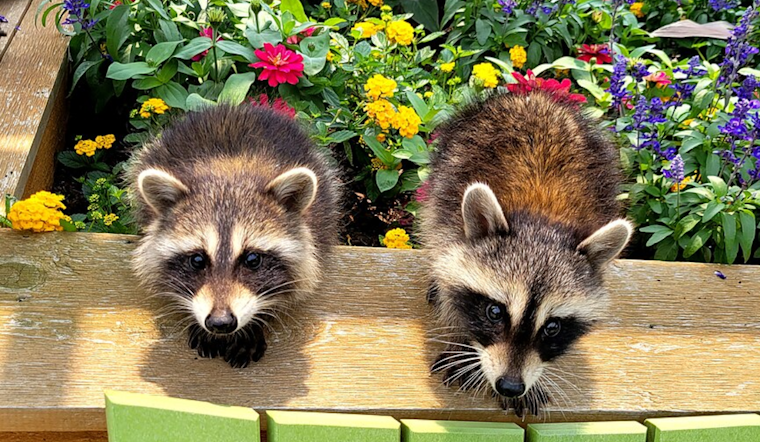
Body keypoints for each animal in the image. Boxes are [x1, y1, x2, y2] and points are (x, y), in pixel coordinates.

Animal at [423, 91, 632, 415]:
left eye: (553, 327)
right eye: (494, 312)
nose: (510, 386)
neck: (541, 217)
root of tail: (534, 95)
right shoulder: (448, 222)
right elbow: (448, 277)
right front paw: (464, 340)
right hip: (448, 164)